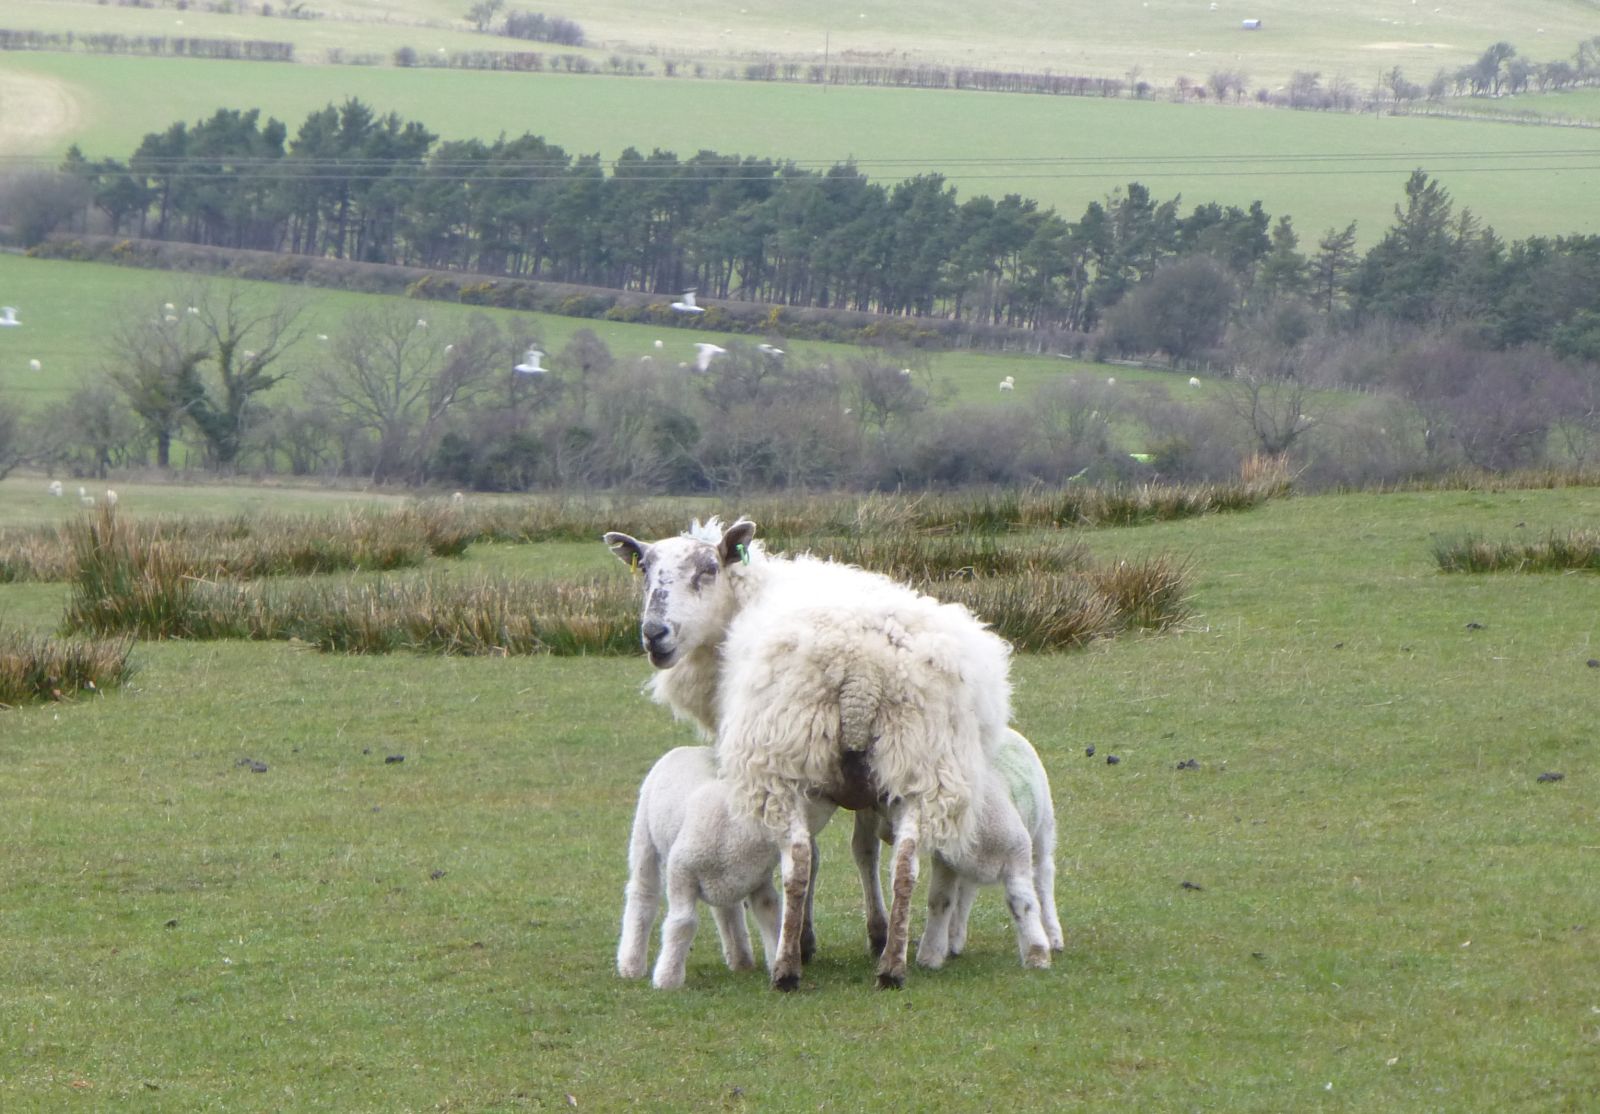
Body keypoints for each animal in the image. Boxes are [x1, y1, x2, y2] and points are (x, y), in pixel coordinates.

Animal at [618, 746, 834, 989]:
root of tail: (685, 749)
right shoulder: (681, 870)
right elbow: (683, 922)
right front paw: (668, 978)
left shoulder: (760, 880)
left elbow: (770, 914)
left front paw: (777, 964)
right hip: (644, 833)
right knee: (643, 892)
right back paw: (631, 964)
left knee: (727, 909)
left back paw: (740, 959)